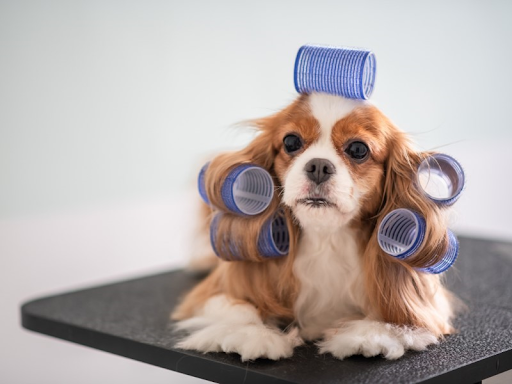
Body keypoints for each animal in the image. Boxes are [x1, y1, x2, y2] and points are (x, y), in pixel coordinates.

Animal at [170, 91, 458, 362]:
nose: (318, 166)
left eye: (358, 149)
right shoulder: (208, 295)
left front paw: (371, 334)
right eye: (291, 142)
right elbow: (241, 309)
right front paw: (254, 335)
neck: (326, 239)